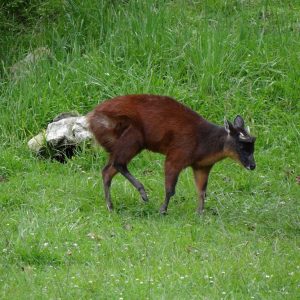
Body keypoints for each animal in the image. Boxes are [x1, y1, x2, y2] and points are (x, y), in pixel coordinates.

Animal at [88, 95, 256, 214]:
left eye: (253, 144)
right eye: (241, 145)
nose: (253, 166)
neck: (204, 142)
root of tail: (89, 117)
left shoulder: (202, 166)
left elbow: (202, 191)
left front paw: (200, 213)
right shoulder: (176, 156)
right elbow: (170, 189)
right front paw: (163, 210)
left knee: (107, 171)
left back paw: (110, 206)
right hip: (132, 137)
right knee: (118, 164)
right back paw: (143, 194)